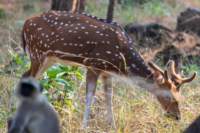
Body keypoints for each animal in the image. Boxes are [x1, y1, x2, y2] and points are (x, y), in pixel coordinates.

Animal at [21, 10, 195, 128]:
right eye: (169, 97)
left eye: (180, 98)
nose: (177, 117)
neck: (120, 60)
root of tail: (25, 24)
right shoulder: (93, 64)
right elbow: (90, 96)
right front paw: (84, 126)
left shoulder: (107, 72)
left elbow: (109, 97)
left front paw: (113, 126)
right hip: (37, 53)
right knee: (28, 78)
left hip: (48, 59)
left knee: (26, 77)